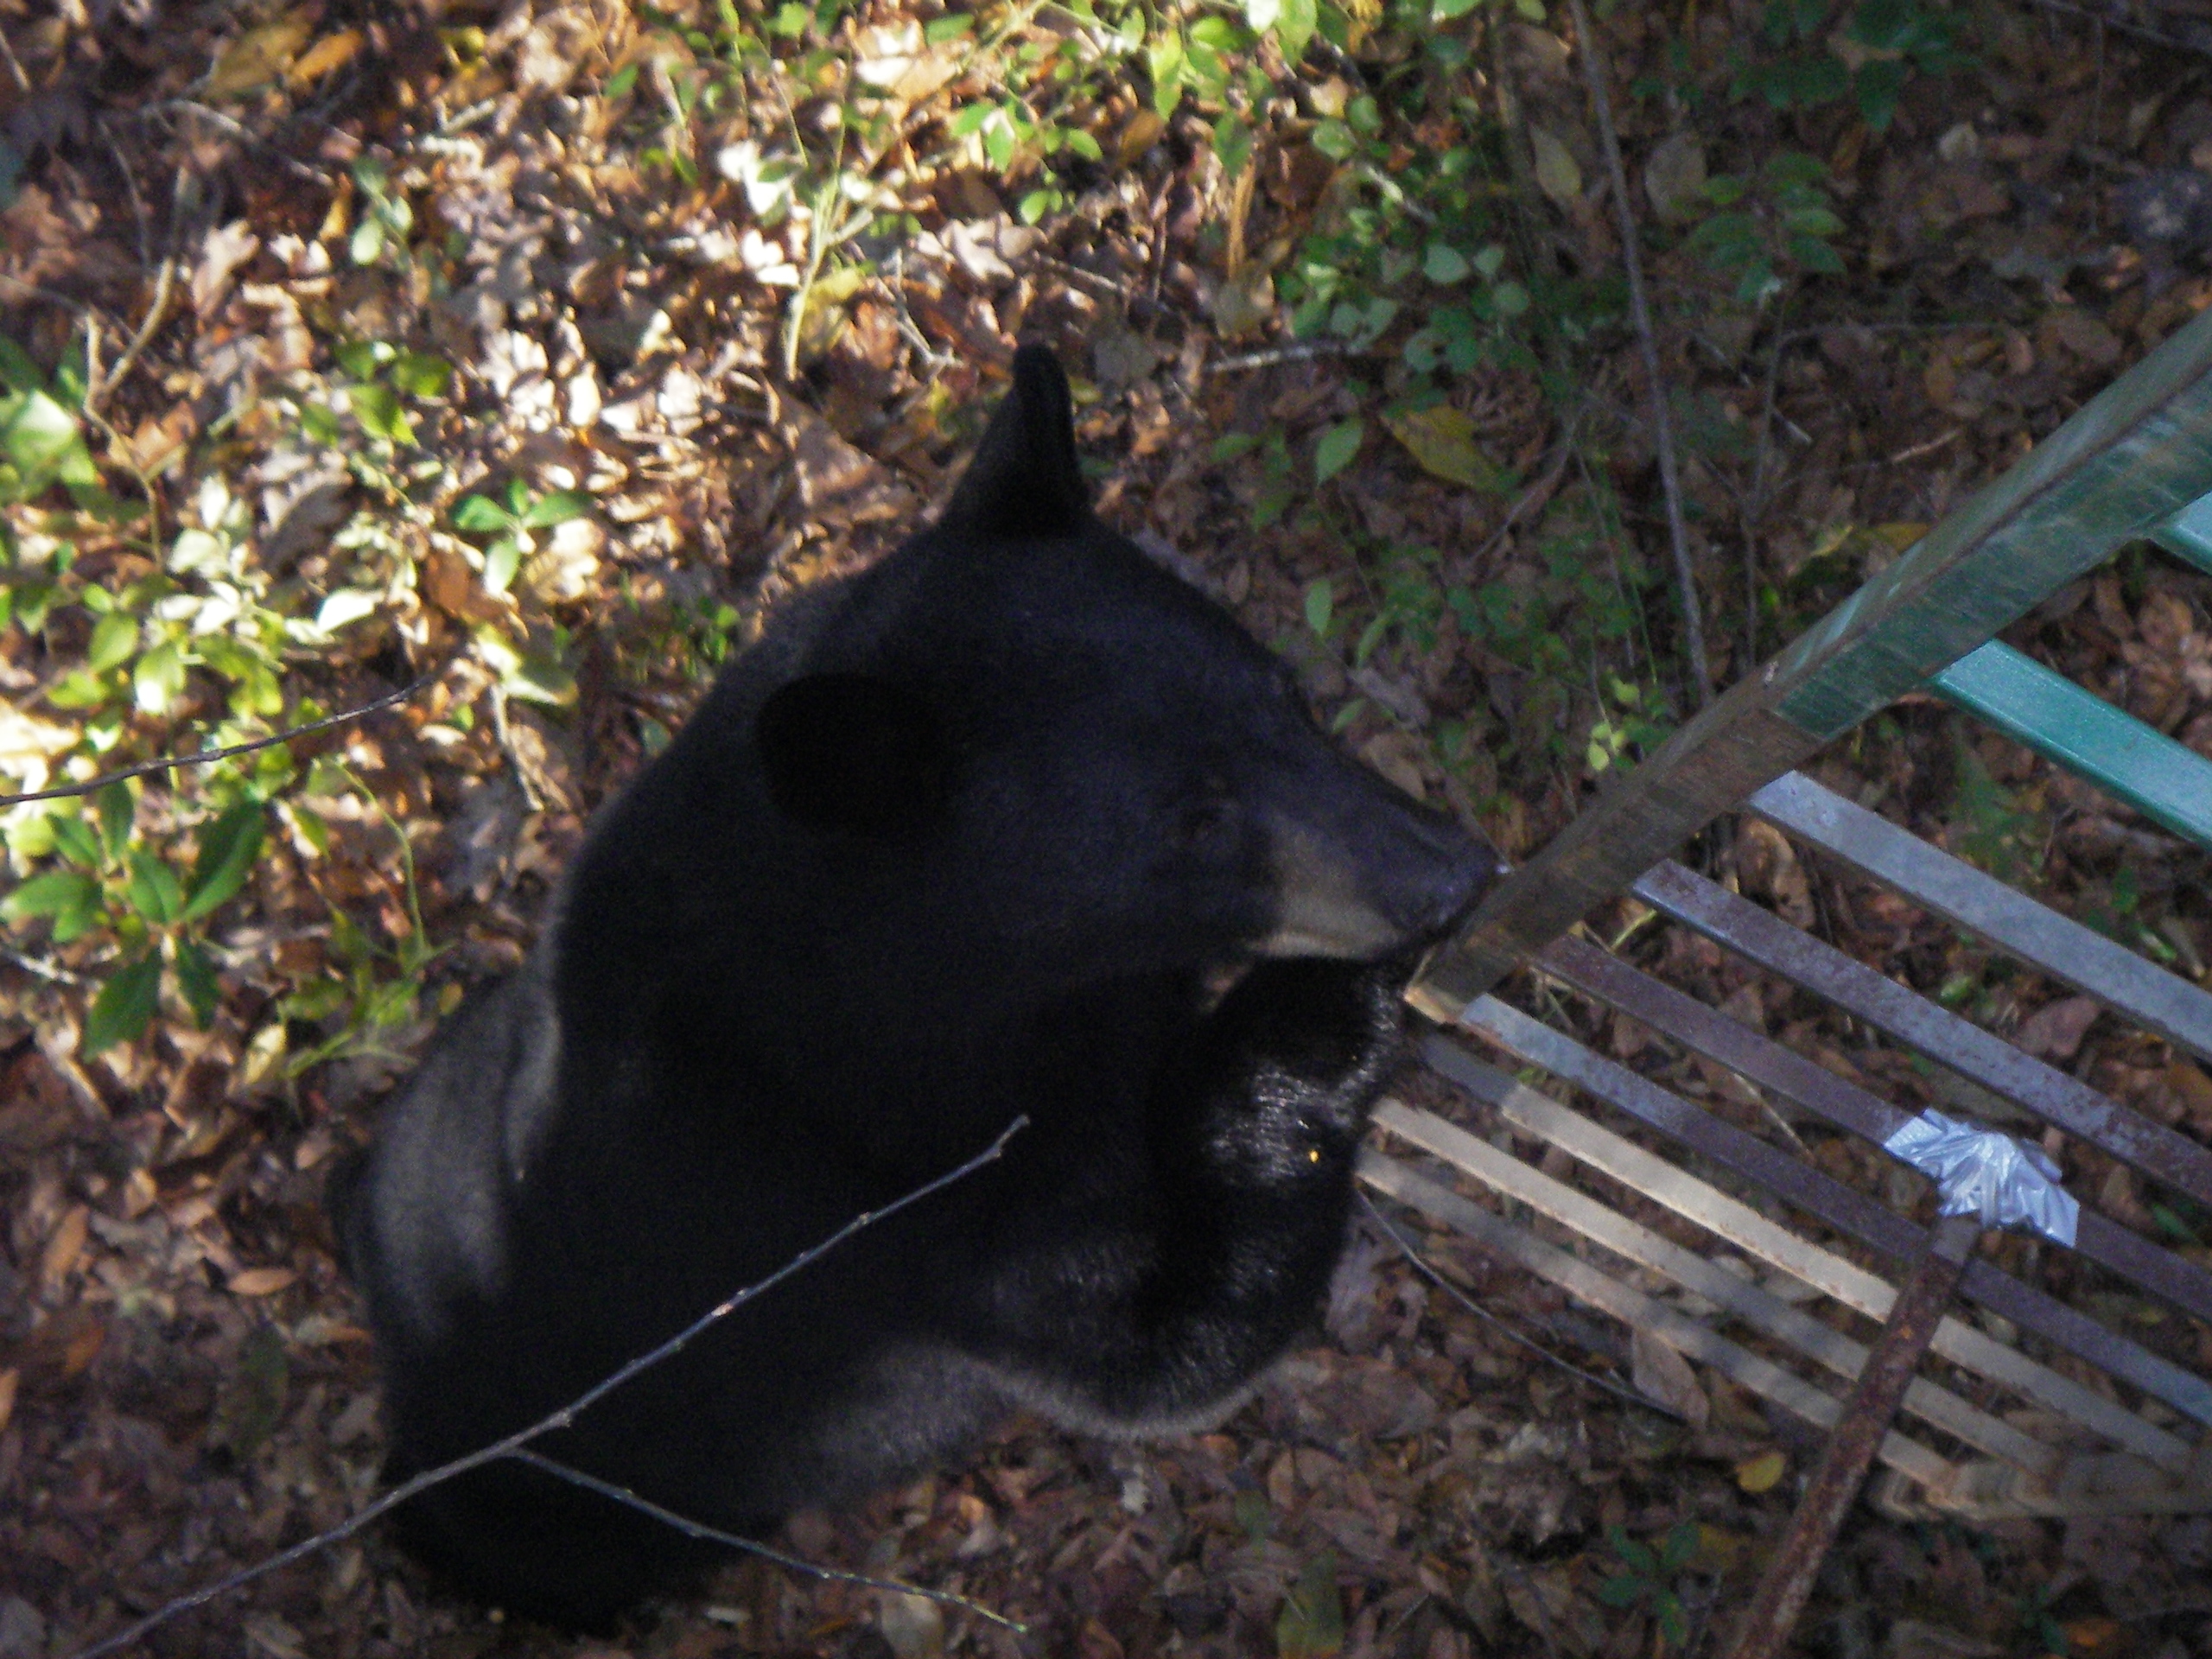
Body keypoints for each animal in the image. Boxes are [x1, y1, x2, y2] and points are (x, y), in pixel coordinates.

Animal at [336, 345, 1495, 1628]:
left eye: (1286, 695)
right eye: (1194, 822)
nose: (1453, 876)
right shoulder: (883, 1225)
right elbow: (1159, 1350)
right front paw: (1307, 1031)